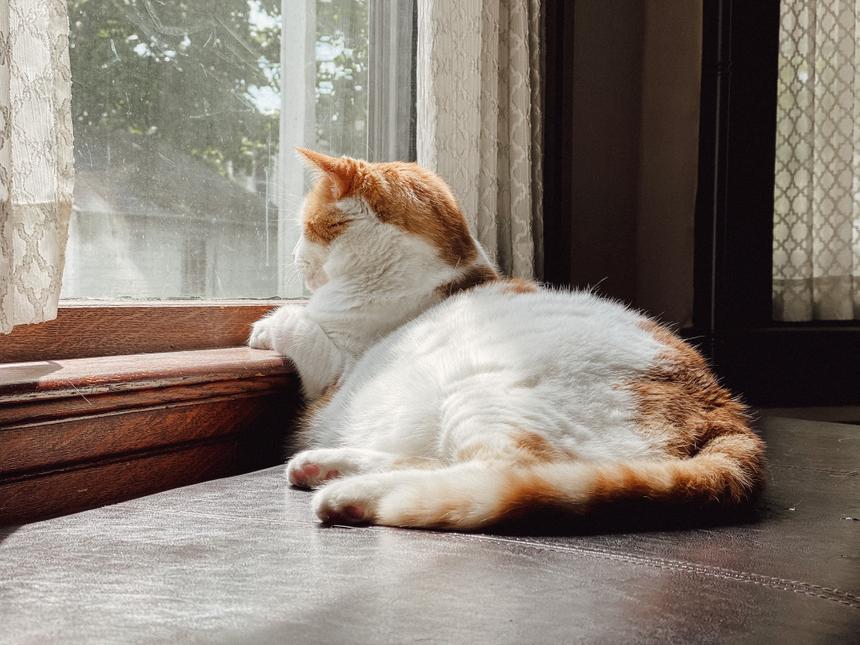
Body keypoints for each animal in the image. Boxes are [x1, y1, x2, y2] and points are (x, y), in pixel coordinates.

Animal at [249, 148, 764, 532]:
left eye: (305, 227)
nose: (292, 256)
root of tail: (725, 407)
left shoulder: (333, 366)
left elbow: (299, 325)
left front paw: (266, 326)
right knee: (431, 462)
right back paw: (325, 467)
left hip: (483, 395)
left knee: (488, 475)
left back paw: (351, 496)